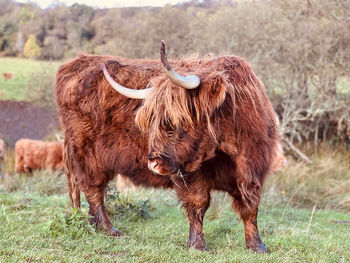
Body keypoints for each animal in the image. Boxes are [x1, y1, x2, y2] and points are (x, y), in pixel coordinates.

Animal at [56, 41, 284, 254]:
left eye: (175, 121)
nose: (154, 164)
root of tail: (74, 64)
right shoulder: (191, 172)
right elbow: (198, 203)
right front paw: (197, 245)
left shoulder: (253, 168)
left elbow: (250, 206)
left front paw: (257, 246)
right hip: (86, 151)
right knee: (93, 188)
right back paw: (108, 229)